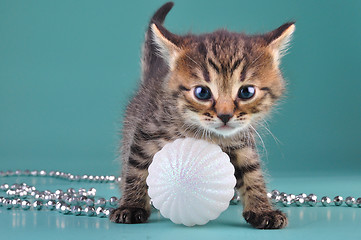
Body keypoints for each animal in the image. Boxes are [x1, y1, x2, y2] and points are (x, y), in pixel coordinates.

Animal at [109, 1, 292, 229]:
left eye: (246, 92)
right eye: (202, 92)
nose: (225, 115)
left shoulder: (242, 140)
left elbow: (252, 171)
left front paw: (262, 209)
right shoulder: (147, 131)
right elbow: (136, 167)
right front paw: (131, 206)